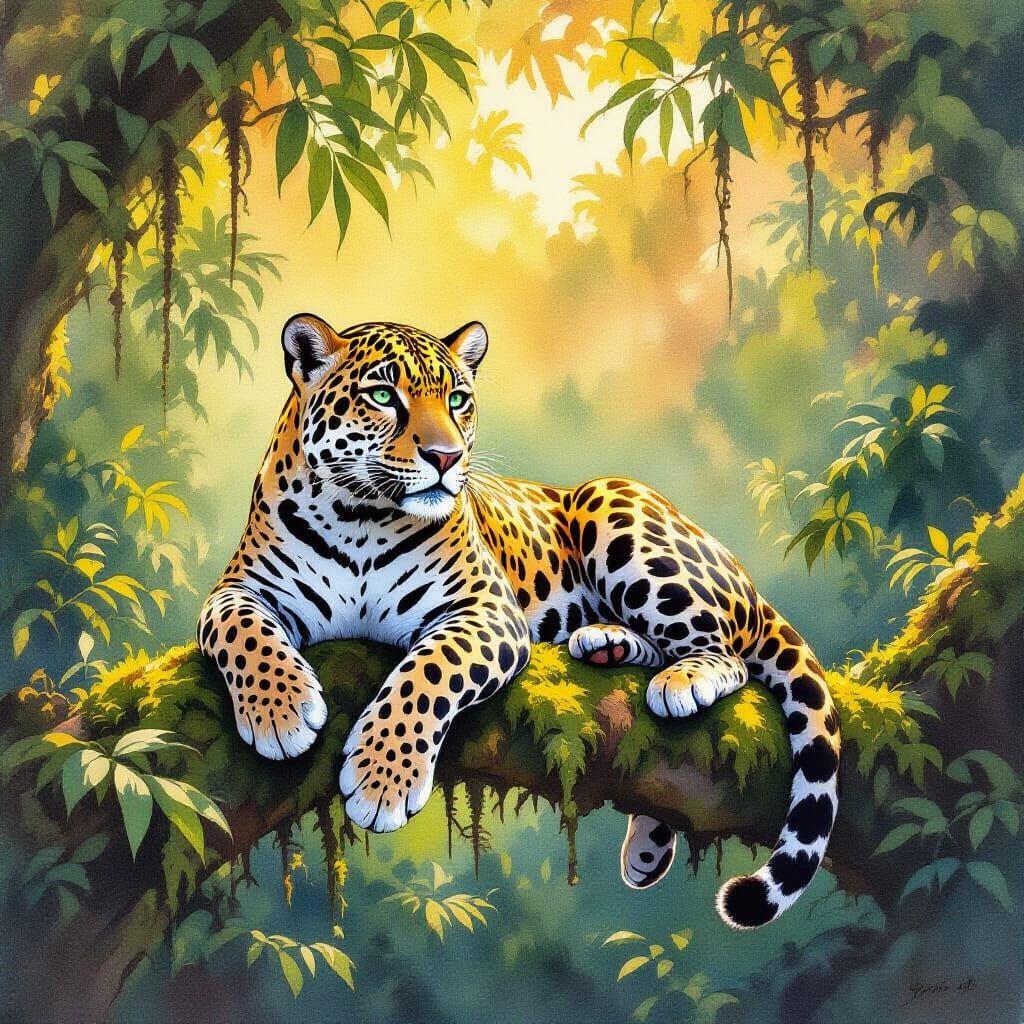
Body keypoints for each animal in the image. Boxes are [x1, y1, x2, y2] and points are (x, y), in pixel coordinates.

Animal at [198, 313, 841, 929]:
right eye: (382, 395)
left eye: (458, 399)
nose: (446, 457)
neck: (359, 516)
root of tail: (733, 564)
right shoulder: (239, 590)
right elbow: (243, 633)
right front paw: (280, 713)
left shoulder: (485, 610)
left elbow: (425, 675)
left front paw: (383, 780)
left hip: (614, 506)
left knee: (727, 651)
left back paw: (684, 680)